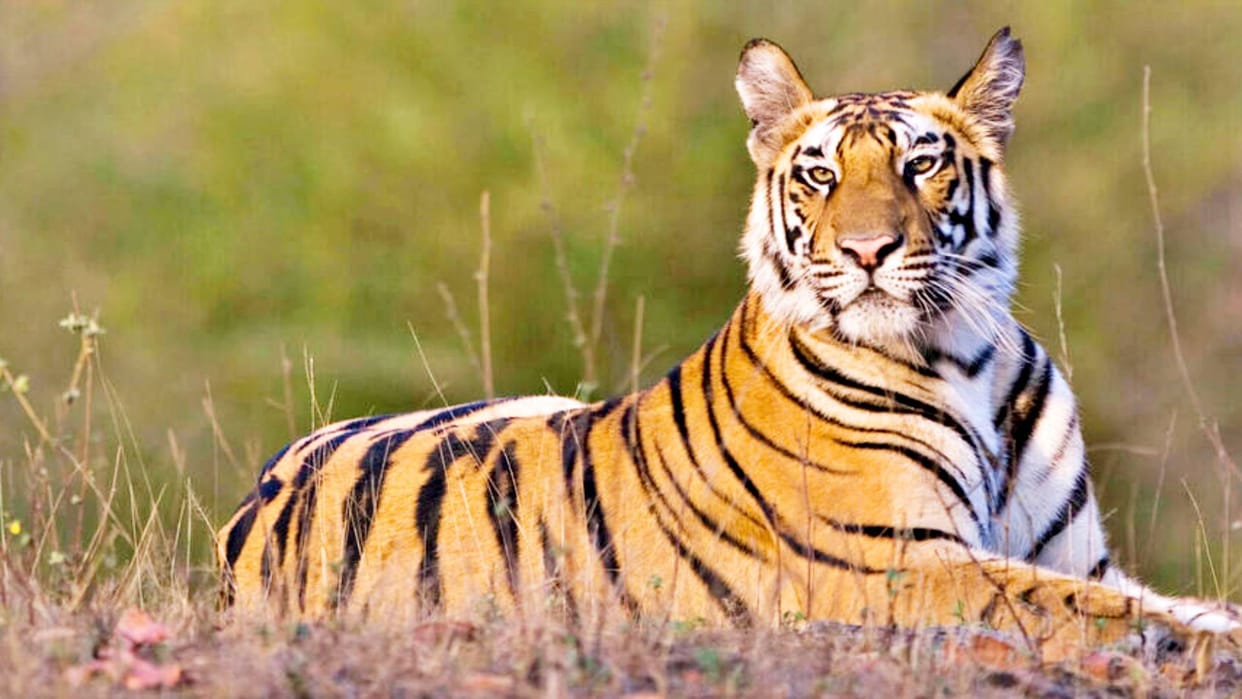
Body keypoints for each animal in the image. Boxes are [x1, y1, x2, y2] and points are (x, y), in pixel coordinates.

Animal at [218, 28, 1241, 660]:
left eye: (922, 163)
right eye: (821, 175)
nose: (867, 250)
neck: (966, 357)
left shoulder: (1073, 551)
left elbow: (1137, 594)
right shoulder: (896, 563)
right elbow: (1088, 608)